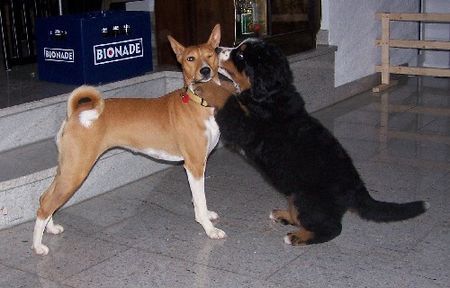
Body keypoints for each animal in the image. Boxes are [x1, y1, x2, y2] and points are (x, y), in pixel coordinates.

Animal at [32, 24, 229, 254]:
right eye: (190, 59)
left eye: (209, 55)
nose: (205, 70)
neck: (199, 102)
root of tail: (75, 113)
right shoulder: (195, 165)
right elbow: (200, 200)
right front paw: (210, 229)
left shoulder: (196, 166)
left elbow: (198, 200)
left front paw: (206, 216)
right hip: (76, 170)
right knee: (47, 204)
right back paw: (37, 246)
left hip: (67, 167)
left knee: (46, 197)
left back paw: (51, 228)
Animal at [193, 38, 428, 245]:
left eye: (241, 55)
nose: (217, 50)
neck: (271, 97)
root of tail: (356, 187)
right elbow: (230, 91)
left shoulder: (245, 127)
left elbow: (226, 98)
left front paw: (206, 86)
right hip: (296, 194)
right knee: (303, 216)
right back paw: (284, 215)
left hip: (307, 197)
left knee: (331, 228)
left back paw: (298, 237)